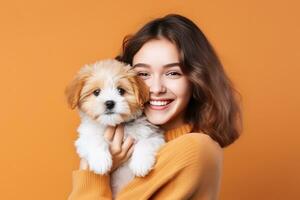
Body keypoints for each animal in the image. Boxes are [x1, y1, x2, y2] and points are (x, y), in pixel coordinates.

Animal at [64, 58, 165, 196]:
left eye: (121, 91)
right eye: (96, 92)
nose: (109, 103)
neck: (115, 124)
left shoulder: (153, 134)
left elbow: (146, 142)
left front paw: (141, 163)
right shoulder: (84, 137)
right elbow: (96, 140)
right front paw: (100, 161)